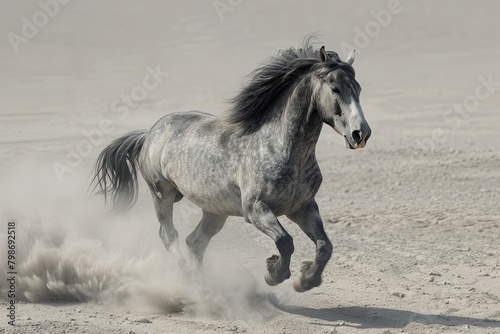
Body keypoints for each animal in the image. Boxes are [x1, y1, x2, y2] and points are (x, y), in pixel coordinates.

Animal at [92, 37, 370, 290]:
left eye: (358, 89)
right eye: (335, 89)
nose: (361, 134)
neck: (281, 147)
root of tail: (149, 133)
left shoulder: (302, 207)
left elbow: (325, 247)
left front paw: (305, 280)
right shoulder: (256, 209)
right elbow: (285, 241)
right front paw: (273, 273)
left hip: (215, 211)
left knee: (195, 242)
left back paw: (203, 287)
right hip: (162, 195)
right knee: (169, 235)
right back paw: (187, 279)